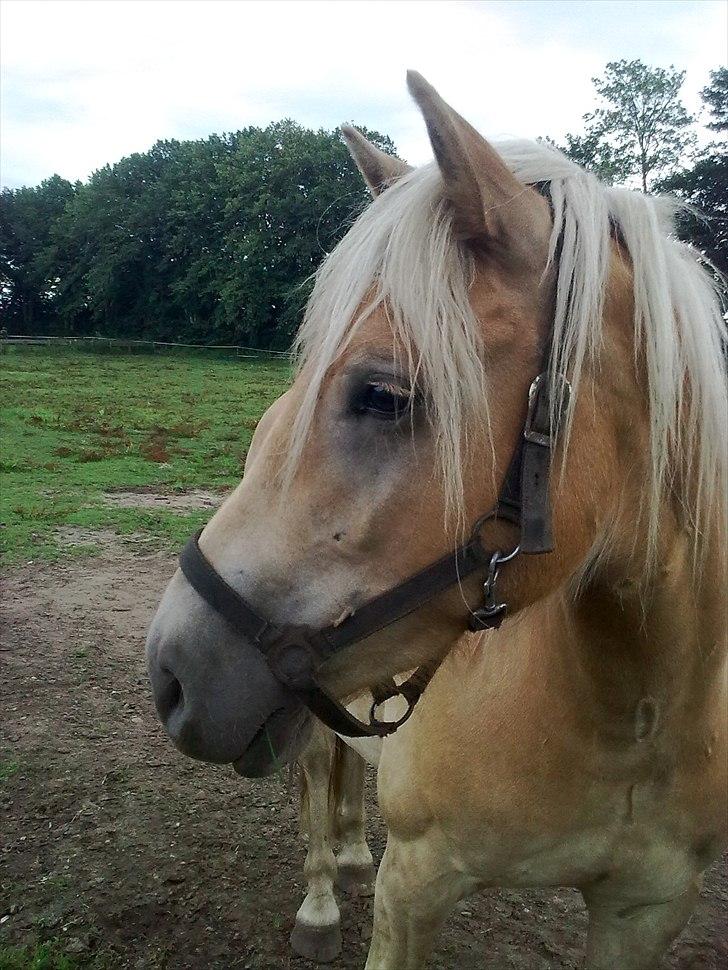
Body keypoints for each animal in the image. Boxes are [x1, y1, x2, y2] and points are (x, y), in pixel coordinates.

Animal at [146, 71, 727, 969]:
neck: (632, 716)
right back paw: (322, 898)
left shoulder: (646, 911)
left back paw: (352, 853)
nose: (169, 673)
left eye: (384, 394)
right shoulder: (418, 884)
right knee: (318, 780)